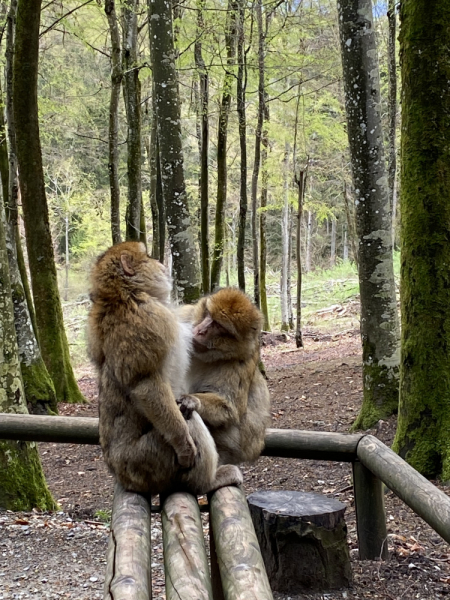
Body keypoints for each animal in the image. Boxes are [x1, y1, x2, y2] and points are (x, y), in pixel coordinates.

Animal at [87, 240, 243, 496]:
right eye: (148, 256)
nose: (159, 262)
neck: (123, 295)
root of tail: (122, 475)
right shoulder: (148, 320)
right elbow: (146, 384)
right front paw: (185, 446)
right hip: (147, 461)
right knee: (187, 418)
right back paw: (207, 481)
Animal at [178, 288, 270, 466]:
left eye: (218, 325)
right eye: (208, 314)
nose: (201, 330)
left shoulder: (240, 361)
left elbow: (229, 407)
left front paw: (192, 400)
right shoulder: (185, 315)